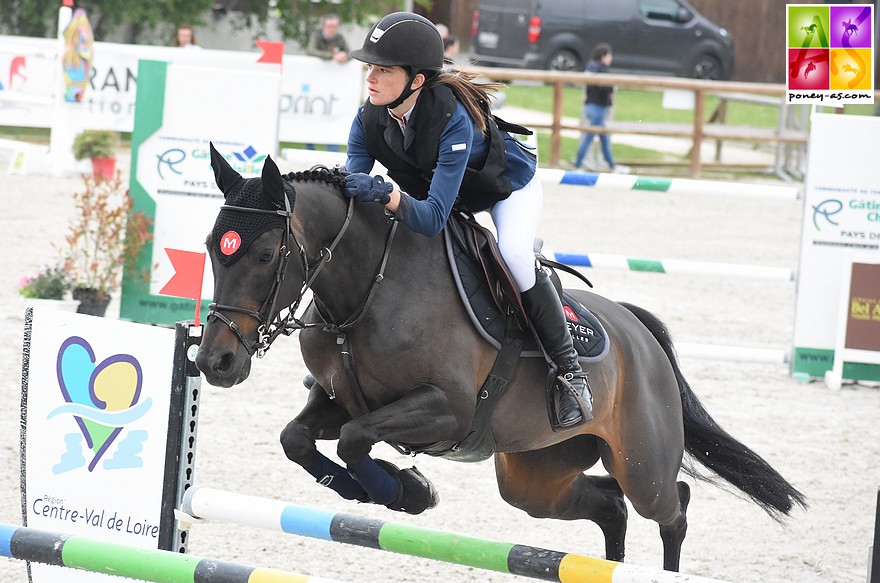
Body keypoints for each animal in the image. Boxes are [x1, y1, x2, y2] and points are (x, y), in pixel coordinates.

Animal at [194, 148, 804, 572]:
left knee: (670, 506)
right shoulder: (339, 399)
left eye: (266, 254)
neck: (368, 289)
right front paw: (385, 490)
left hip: (641, 463)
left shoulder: (447, 411)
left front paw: (407, 491)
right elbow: (298, 439)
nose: (215, 362)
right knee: (609, 507)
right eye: (209, 247)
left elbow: (353, 439)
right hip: (534, 475)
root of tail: (641, 334)